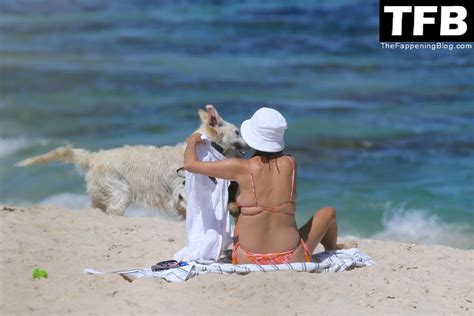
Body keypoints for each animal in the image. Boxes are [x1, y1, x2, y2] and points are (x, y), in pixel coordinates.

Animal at [16, 105, 246, 218]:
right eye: (237, 132)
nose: (249, 144)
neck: (204, 146)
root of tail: (95, 157)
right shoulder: (183, 192)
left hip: (100, 194)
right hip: (119, 191)